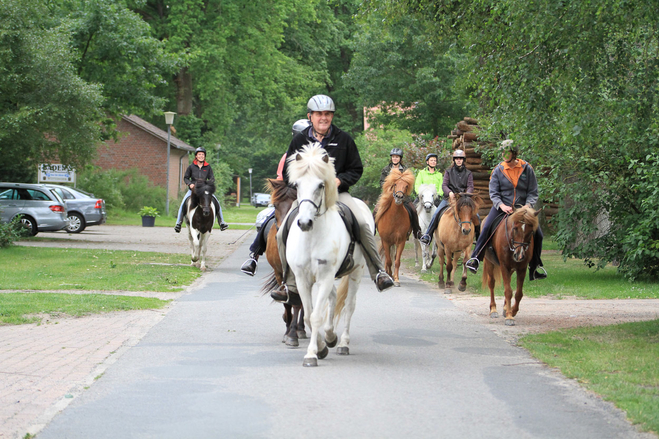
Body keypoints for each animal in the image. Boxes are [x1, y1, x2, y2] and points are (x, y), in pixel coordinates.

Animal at [260, 178, 306, 348]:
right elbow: (286, 301)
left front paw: (293, 333)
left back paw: (301, 328)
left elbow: (297, 302)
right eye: (275, 205)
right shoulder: (279, 272)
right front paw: (287, 329)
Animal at [288, 144, 374, 368]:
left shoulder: (326, 276)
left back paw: (342, 343)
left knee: (349, 306)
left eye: (320, 185)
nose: (304, 223)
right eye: (297, 184)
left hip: (356, 272)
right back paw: (330, 337)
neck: (312, 237)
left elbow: (316, 316)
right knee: (334, 298)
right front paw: (321, 347)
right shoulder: (303, 279)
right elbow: (308, 316)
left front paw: (311, 354)